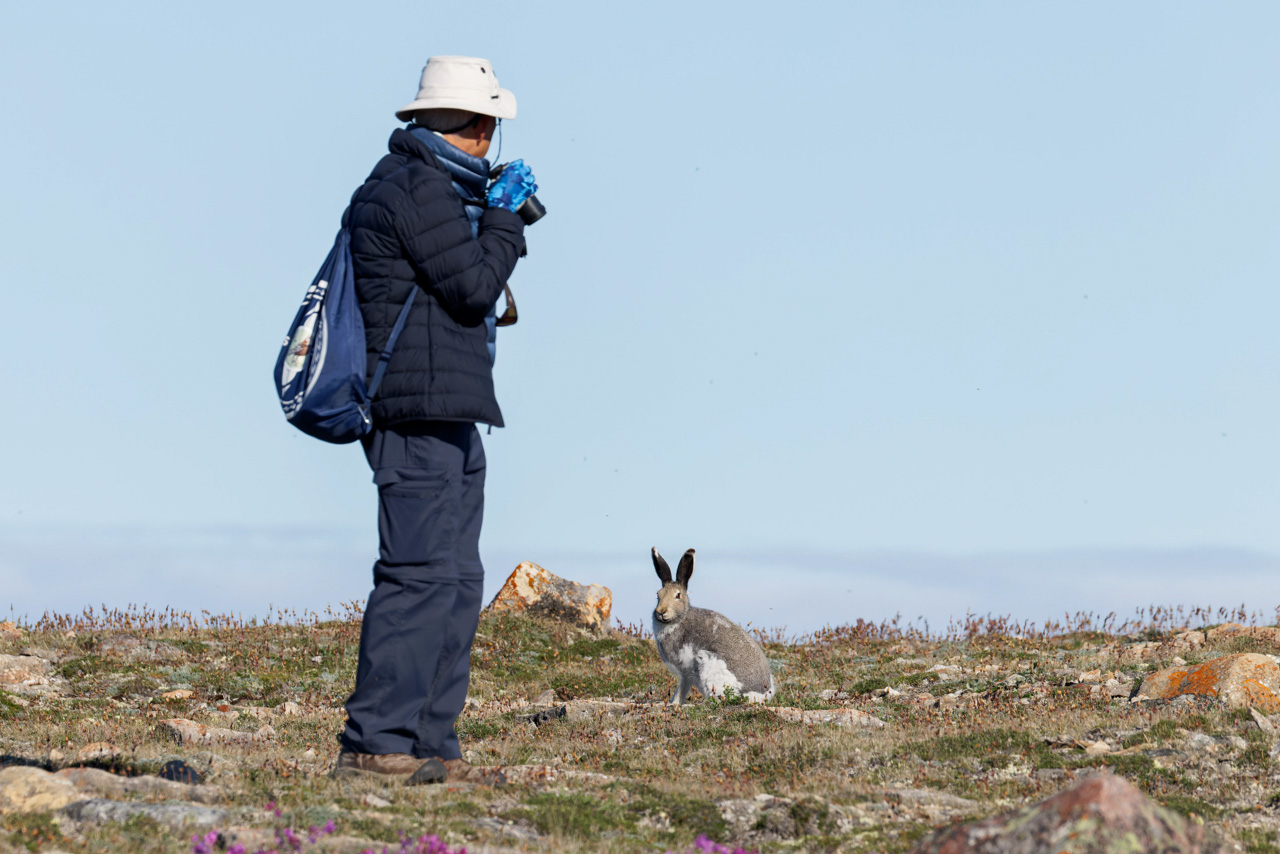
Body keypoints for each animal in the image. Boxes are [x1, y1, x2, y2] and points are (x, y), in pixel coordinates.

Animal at [650, 547, 775, 705]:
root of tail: (760, 694)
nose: (661, 611)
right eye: (658, 595)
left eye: (677, 595)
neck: (679, 619)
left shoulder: (687, 670)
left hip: (710, 669)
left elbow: (682, 687)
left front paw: (674, 703)